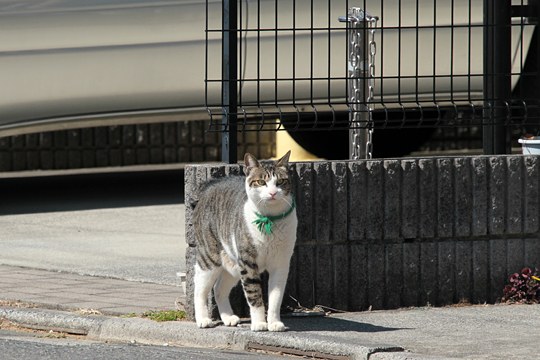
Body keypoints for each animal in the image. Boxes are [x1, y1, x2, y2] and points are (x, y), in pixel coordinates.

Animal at [193, 151, 298, 332]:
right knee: (199, 286)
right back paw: (203, 319)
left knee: (219, 289)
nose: (272, 193)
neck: (270, 219)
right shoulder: (248, 263)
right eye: (261, 182)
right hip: (210, 257)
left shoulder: (281, 263)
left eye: (280, 182)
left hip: (233, 263)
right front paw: (259, 323)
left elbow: (276, 296)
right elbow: (254, 295)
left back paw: (228, 318)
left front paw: (274, 322)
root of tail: (210, 184)